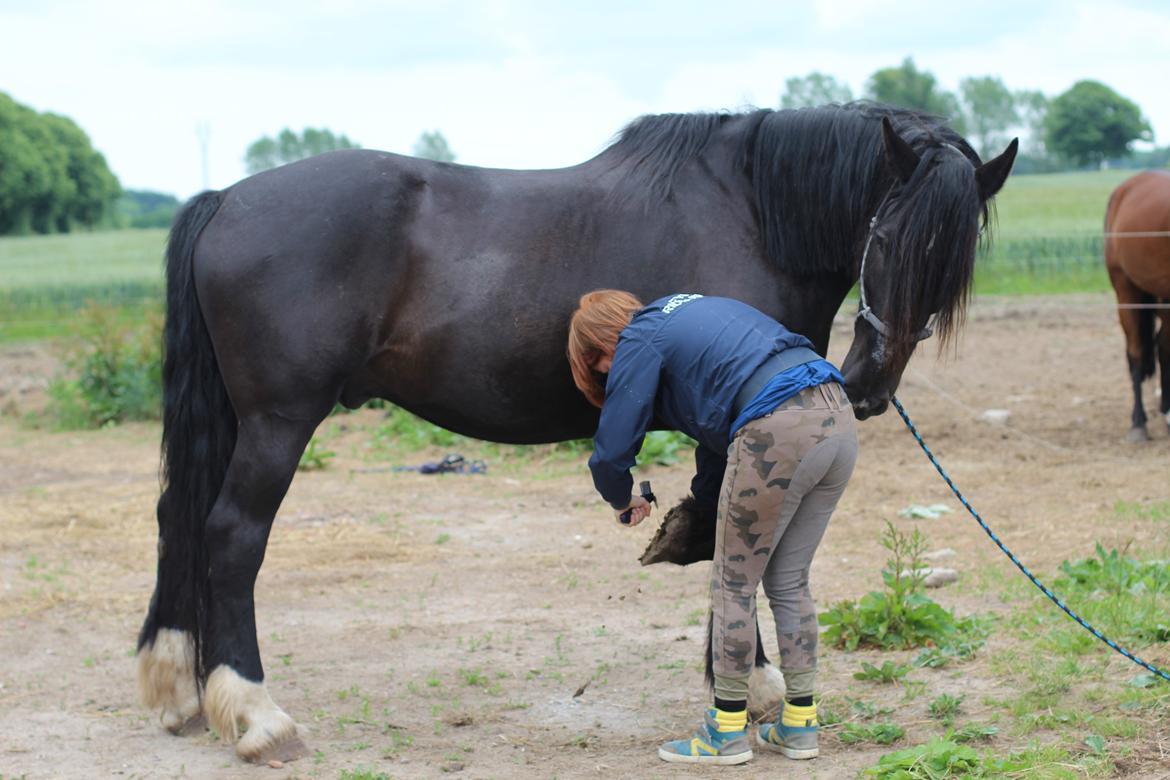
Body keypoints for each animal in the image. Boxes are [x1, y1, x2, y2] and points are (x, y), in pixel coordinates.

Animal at [134, 102, 1015, 762]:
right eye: (886, 238)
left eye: (955, 260)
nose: (867, 386)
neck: (750, 210)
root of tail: (226, 198)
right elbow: (732, 547)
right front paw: (752, 689)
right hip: (280, 423)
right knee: (231, 536)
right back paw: (257, 717)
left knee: (180, 522)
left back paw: (180, 690)